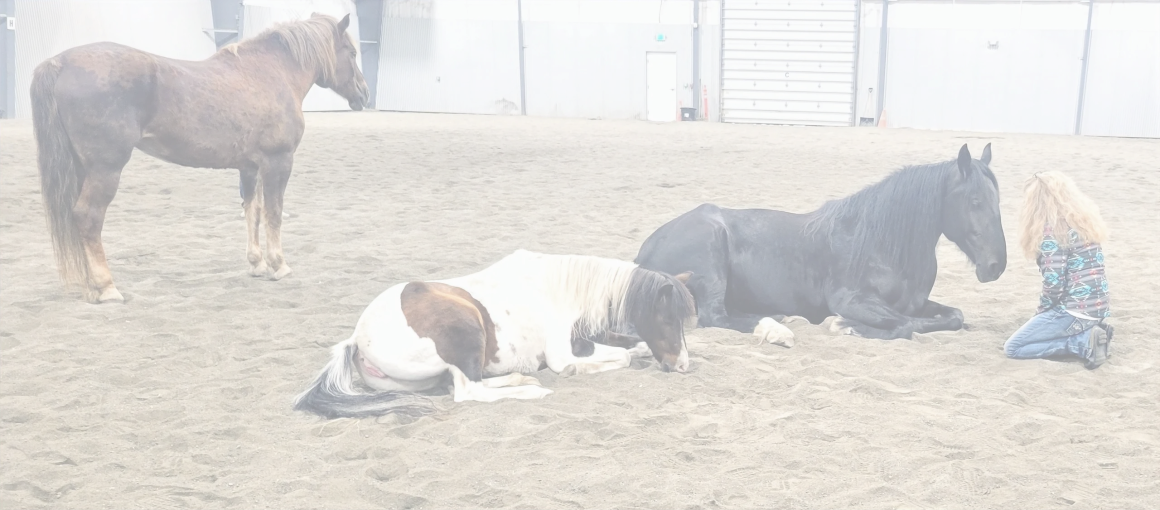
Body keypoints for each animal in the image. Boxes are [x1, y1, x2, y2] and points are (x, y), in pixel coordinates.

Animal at [32, 13, 369, 303]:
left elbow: (254, 211)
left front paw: (257, 263)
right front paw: (279, 264)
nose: (364, 94)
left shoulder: (250, 167)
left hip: (82, 169)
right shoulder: (279, 161)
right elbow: (274, 212)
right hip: (106, 169)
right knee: (88, 217)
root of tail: (59, 62)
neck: (271, 73)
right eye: (352, 52)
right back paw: (107, 287)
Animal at [292, 249, 696, 419]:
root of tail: (357, 339)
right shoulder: (565, 351)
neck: (562, 287)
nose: (682, 366)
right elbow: (622, 356)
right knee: (468, 391)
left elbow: (633, 346)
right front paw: (576, 371)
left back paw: (520, 378)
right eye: (667, 318)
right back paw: (532, 389)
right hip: (466, 328)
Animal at [634, 144, 1007, 341]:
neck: (881, 242)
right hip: (711, 257)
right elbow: (903, 325)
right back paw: (774, 324)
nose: (995, 266)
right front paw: (845, 326)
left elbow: (953, 317)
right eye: (975, 201)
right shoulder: (851, 299)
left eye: (996, 199)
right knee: (716, 317)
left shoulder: (917, 303)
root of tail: (645, 251)